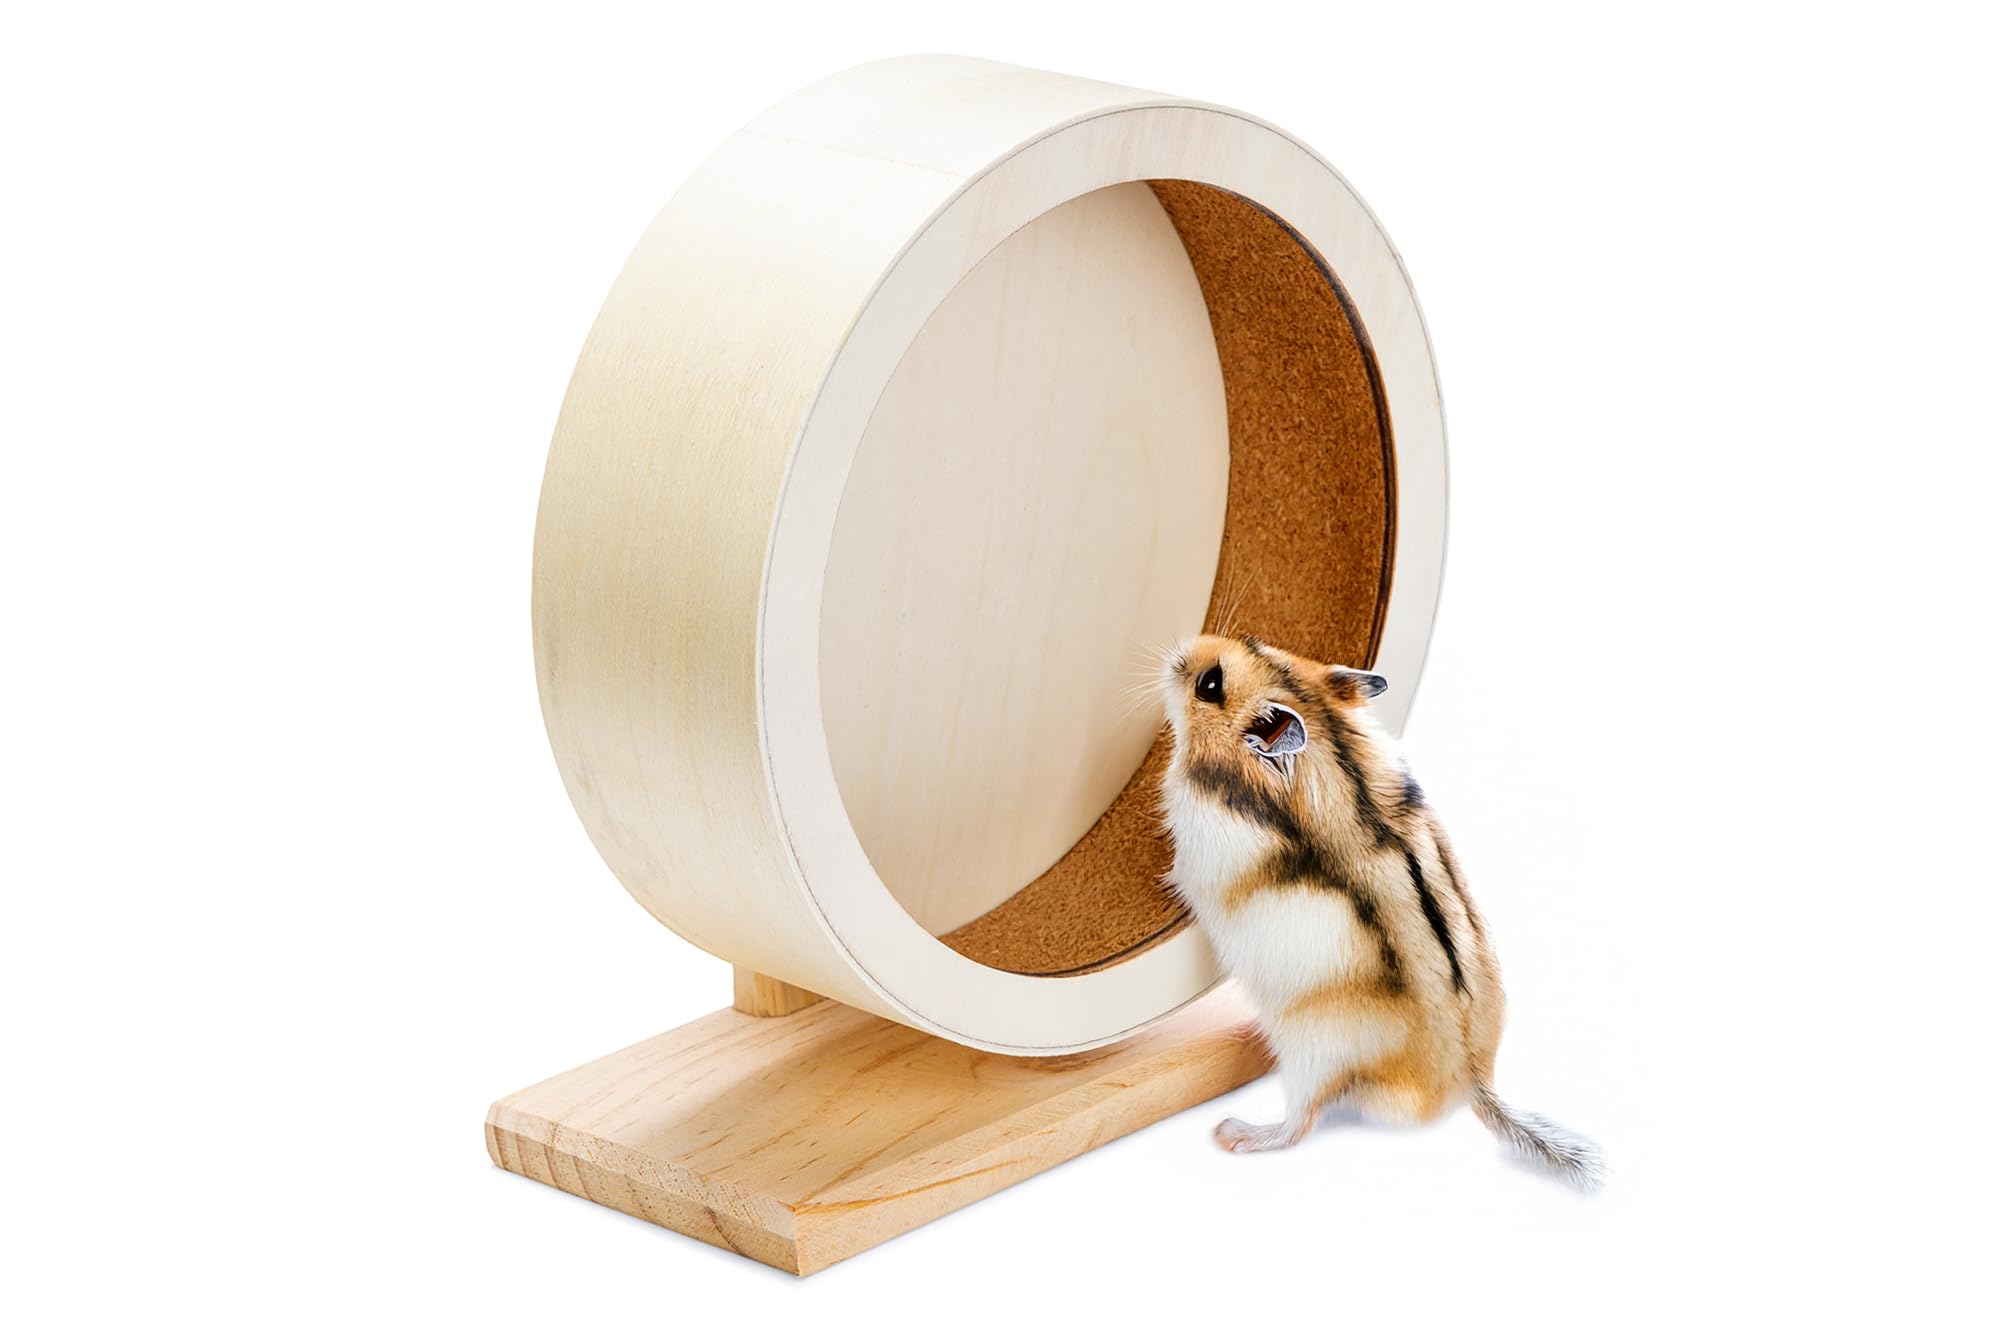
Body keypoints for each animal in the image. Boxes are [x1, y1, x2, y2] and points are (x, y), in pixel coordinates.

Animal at [1158, 633, 1602, 1187]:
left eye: (1210, 684)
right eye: (1257, 641)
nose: (1177, 648)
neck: (1331, 750)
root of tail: (1472, 1082)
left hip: (1315, 1052)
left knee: (1302, 1119)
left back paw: (1234, 1133)